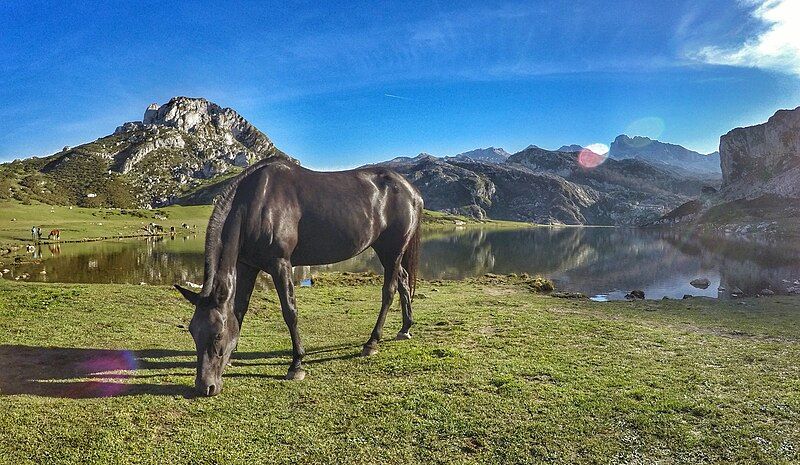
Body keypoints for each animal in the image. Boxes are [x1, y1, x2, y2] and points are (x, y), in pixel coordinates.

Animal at [175, 159, 424, 396]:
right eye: (193, 332)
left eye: (217, 335)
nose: (205, 386)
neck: (256, 203)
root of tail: (412, 192)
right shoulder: (247, 266)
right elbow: (239, 310)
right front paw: (232, 355)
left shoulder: (280, 265)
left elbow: (290, 312)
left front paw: (296, 365)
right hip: (387, 252)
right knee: (402, 280)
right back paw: (405, 328)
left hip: (391, 250)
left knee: (389, 291)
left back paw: (372, 342)